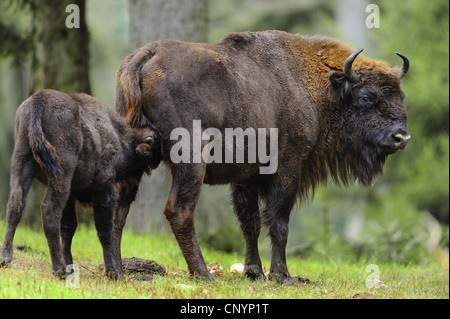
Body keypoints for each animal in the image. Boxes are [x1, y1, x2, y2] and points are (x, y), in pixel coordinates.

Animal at [0, 89, 162, 280]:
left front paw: (70, 265)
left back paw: (5, 258)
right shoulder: (104, 185)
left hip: (22, 161)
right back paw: (59, 270)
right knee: (49, 210)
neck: (118, 135)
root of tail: (39, 99)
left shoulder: (71, 195)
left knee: (16, 204)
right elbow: (104, 229)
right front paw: (113, 273)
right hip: (62, 174)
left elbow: (69, 227)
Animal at [116, 31, 412, 284]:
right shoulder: (287, 170)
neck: (315, 85)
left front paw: (254, 272)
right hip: (191, 163)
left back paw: (116, 271)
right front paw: (282, 276)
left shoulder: (245, 178)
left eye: (401, 95)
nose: (401, 137)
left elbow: (251, 223)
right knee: (179, 211)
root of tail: (145, 56)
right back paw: (203, 274)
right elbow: (278, 222)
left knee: (119, 208)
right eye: (367, 97)